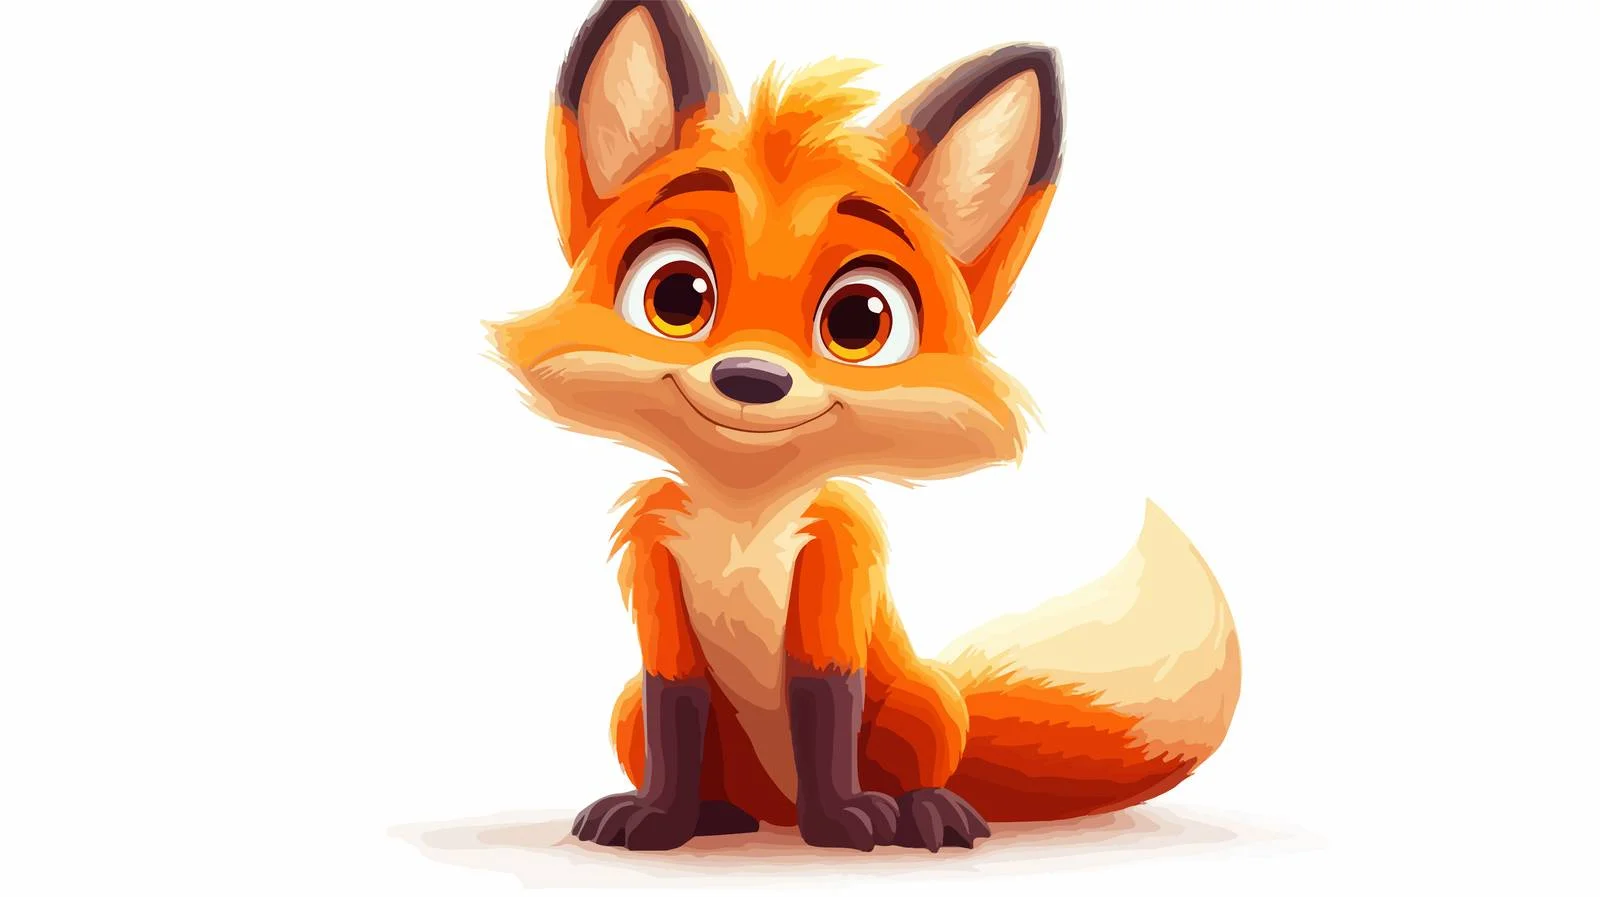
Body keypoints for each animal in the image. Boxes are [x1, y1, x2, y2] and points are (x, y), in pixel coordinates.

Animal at [490, 0, 1241, 853]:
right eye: (678, 296)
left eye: (859, 319)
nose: (751, 378)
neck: (746, 518)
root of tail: (772, 807)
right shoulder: (656, 557)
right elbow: (672, 706)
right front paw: (659, 820)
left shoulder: (839, 551)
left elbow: (826, 706)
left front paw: (844, 822)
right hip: (628, 716)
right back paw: (716, 817)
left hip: (926, 700)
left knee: (919, 762)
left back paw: (923, 810)